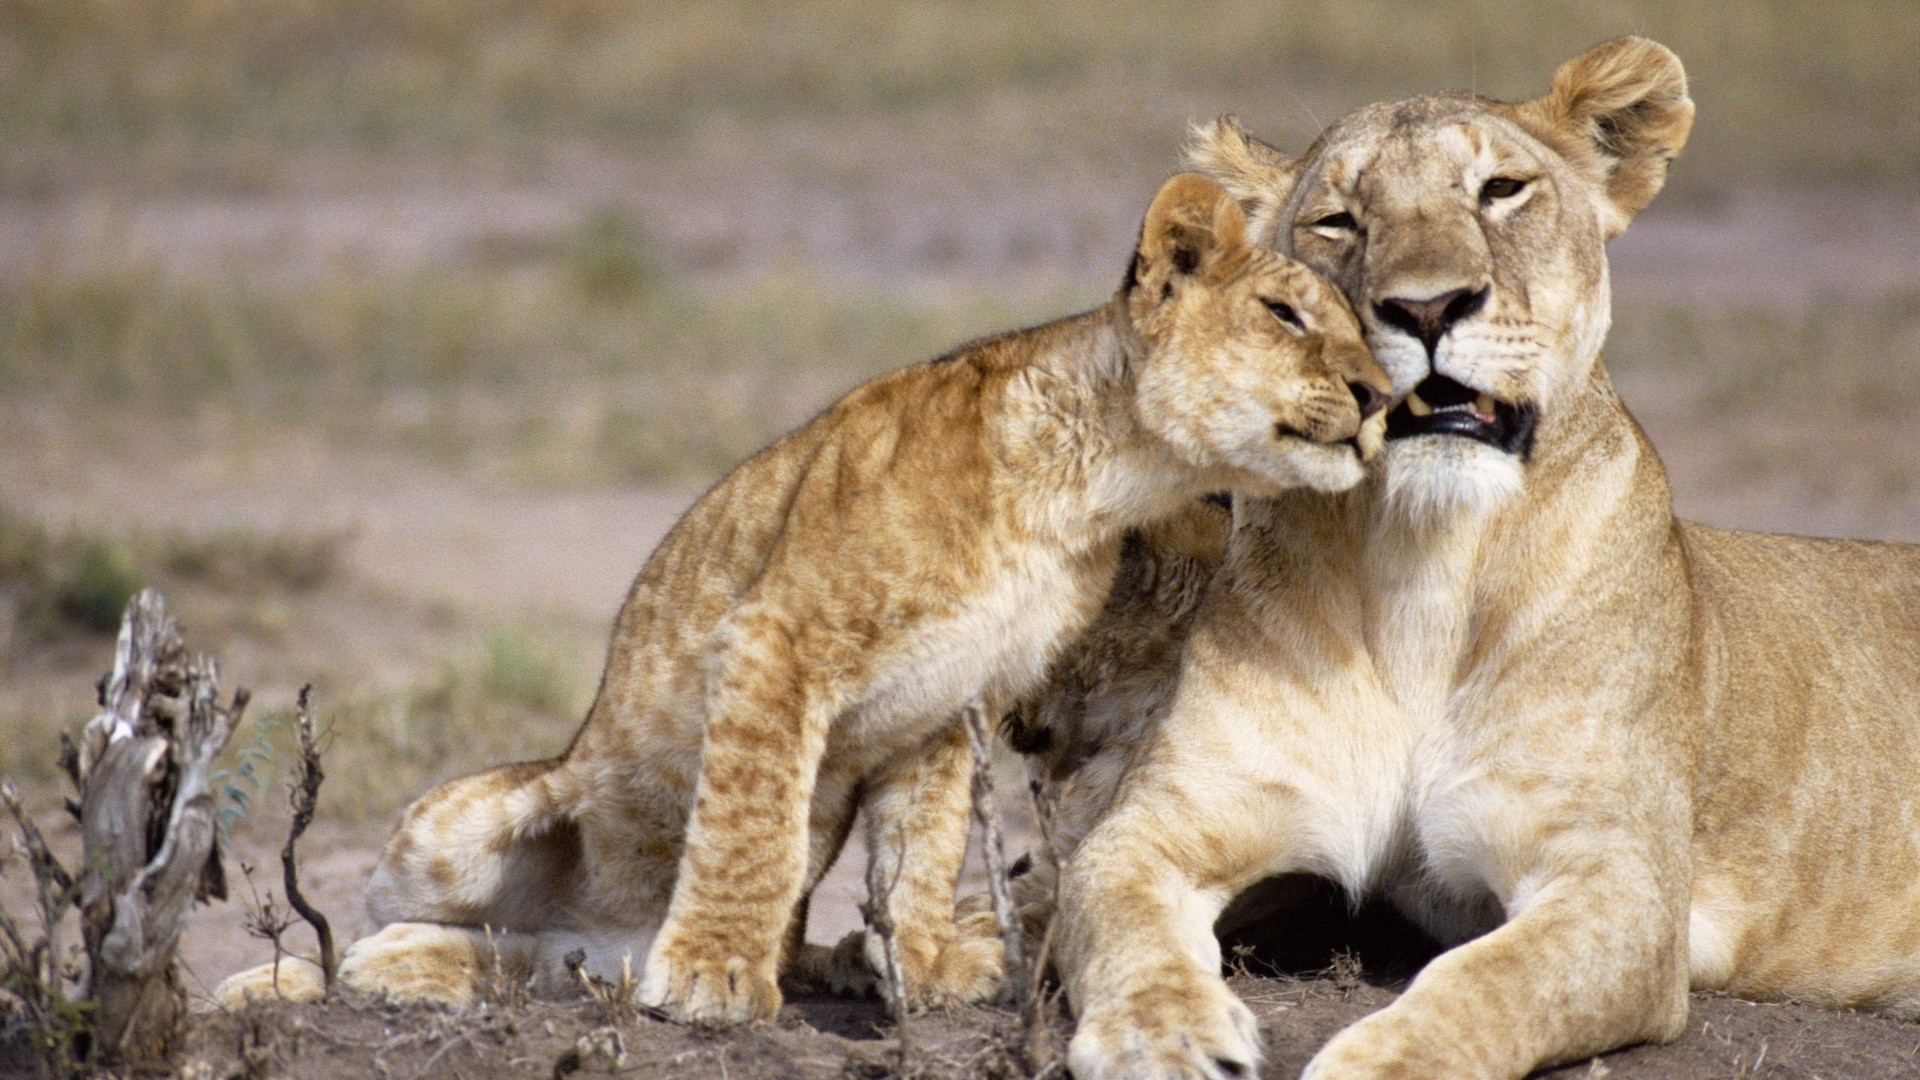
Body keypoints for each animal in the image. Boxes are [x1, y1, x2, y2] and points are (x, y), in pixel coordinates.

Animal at [212, 173, 1390, 1022]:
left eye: (1356, 331)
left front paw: (921, 963)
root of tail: (596, 935)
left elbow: (921, 853)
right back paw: (316, 975)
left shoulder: (946, 708)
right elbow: (754, 827)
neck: (1094, 488)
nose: (1384, 396)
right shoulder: (777, 638)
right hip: (458, 823)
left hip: (560, 942)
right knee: (369, 929)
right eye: (1286, 314)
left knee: (525, 962)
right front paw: (712, 979)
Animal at [1054, 37, 1920, 1080]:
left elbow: (1487, 982)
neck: (1428, 565)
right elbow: (1120, 917)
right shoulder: (1164, 824)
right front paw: (1164, 1034)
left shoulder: (1617, 884)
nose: (1427, 308)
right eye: (1338, 221)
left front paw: (1373, 1064)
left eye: (1501, 190)